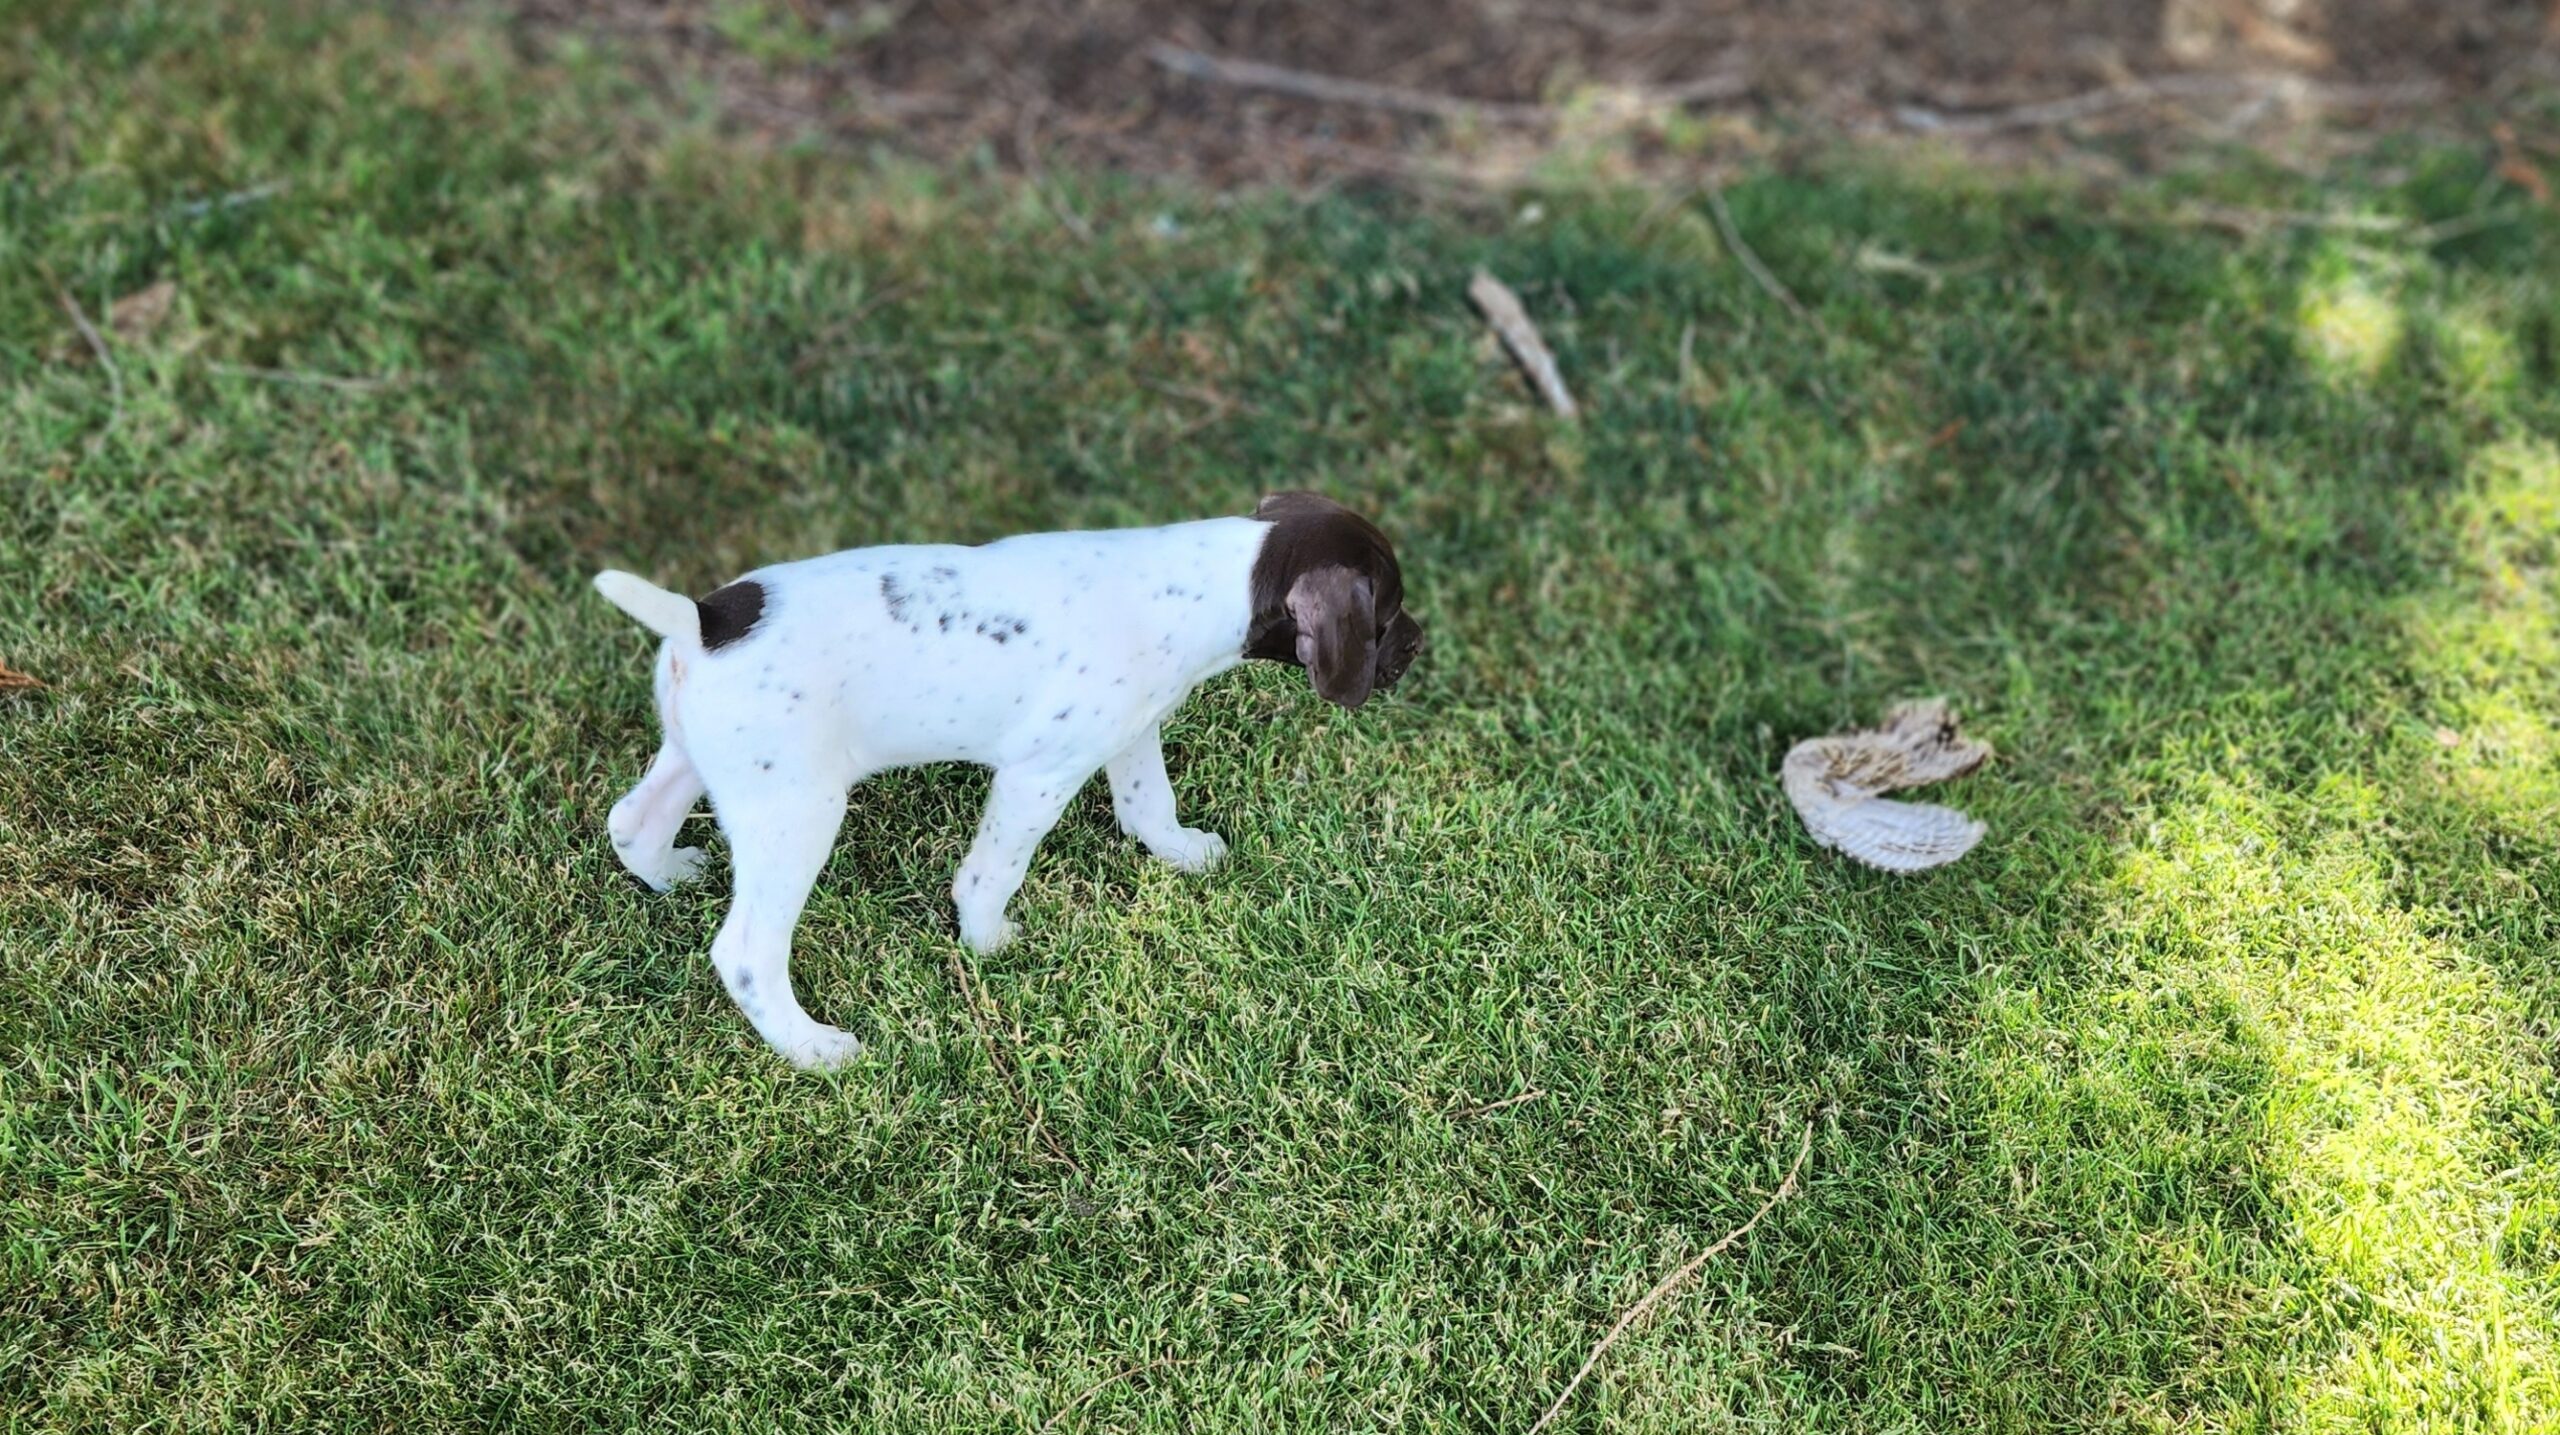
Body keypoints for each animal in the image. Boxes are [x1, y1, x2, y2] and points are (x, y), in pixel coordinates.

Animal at [593, 491, 1423, 1064]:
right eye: (1389, 610)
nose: (1419, 645)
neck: (1210, 580)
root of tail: (705, 620)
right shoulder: (1038, 775)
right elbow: (993, 871)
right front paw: (986, 941)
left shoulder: (1131, 730)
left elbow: (1149, 807)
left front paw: (1184, 852)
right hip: (796, 812)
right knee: (747, 954)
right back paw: (813, 1048)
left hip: (702, 761)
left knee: (631, 824)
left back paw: (671, 873)